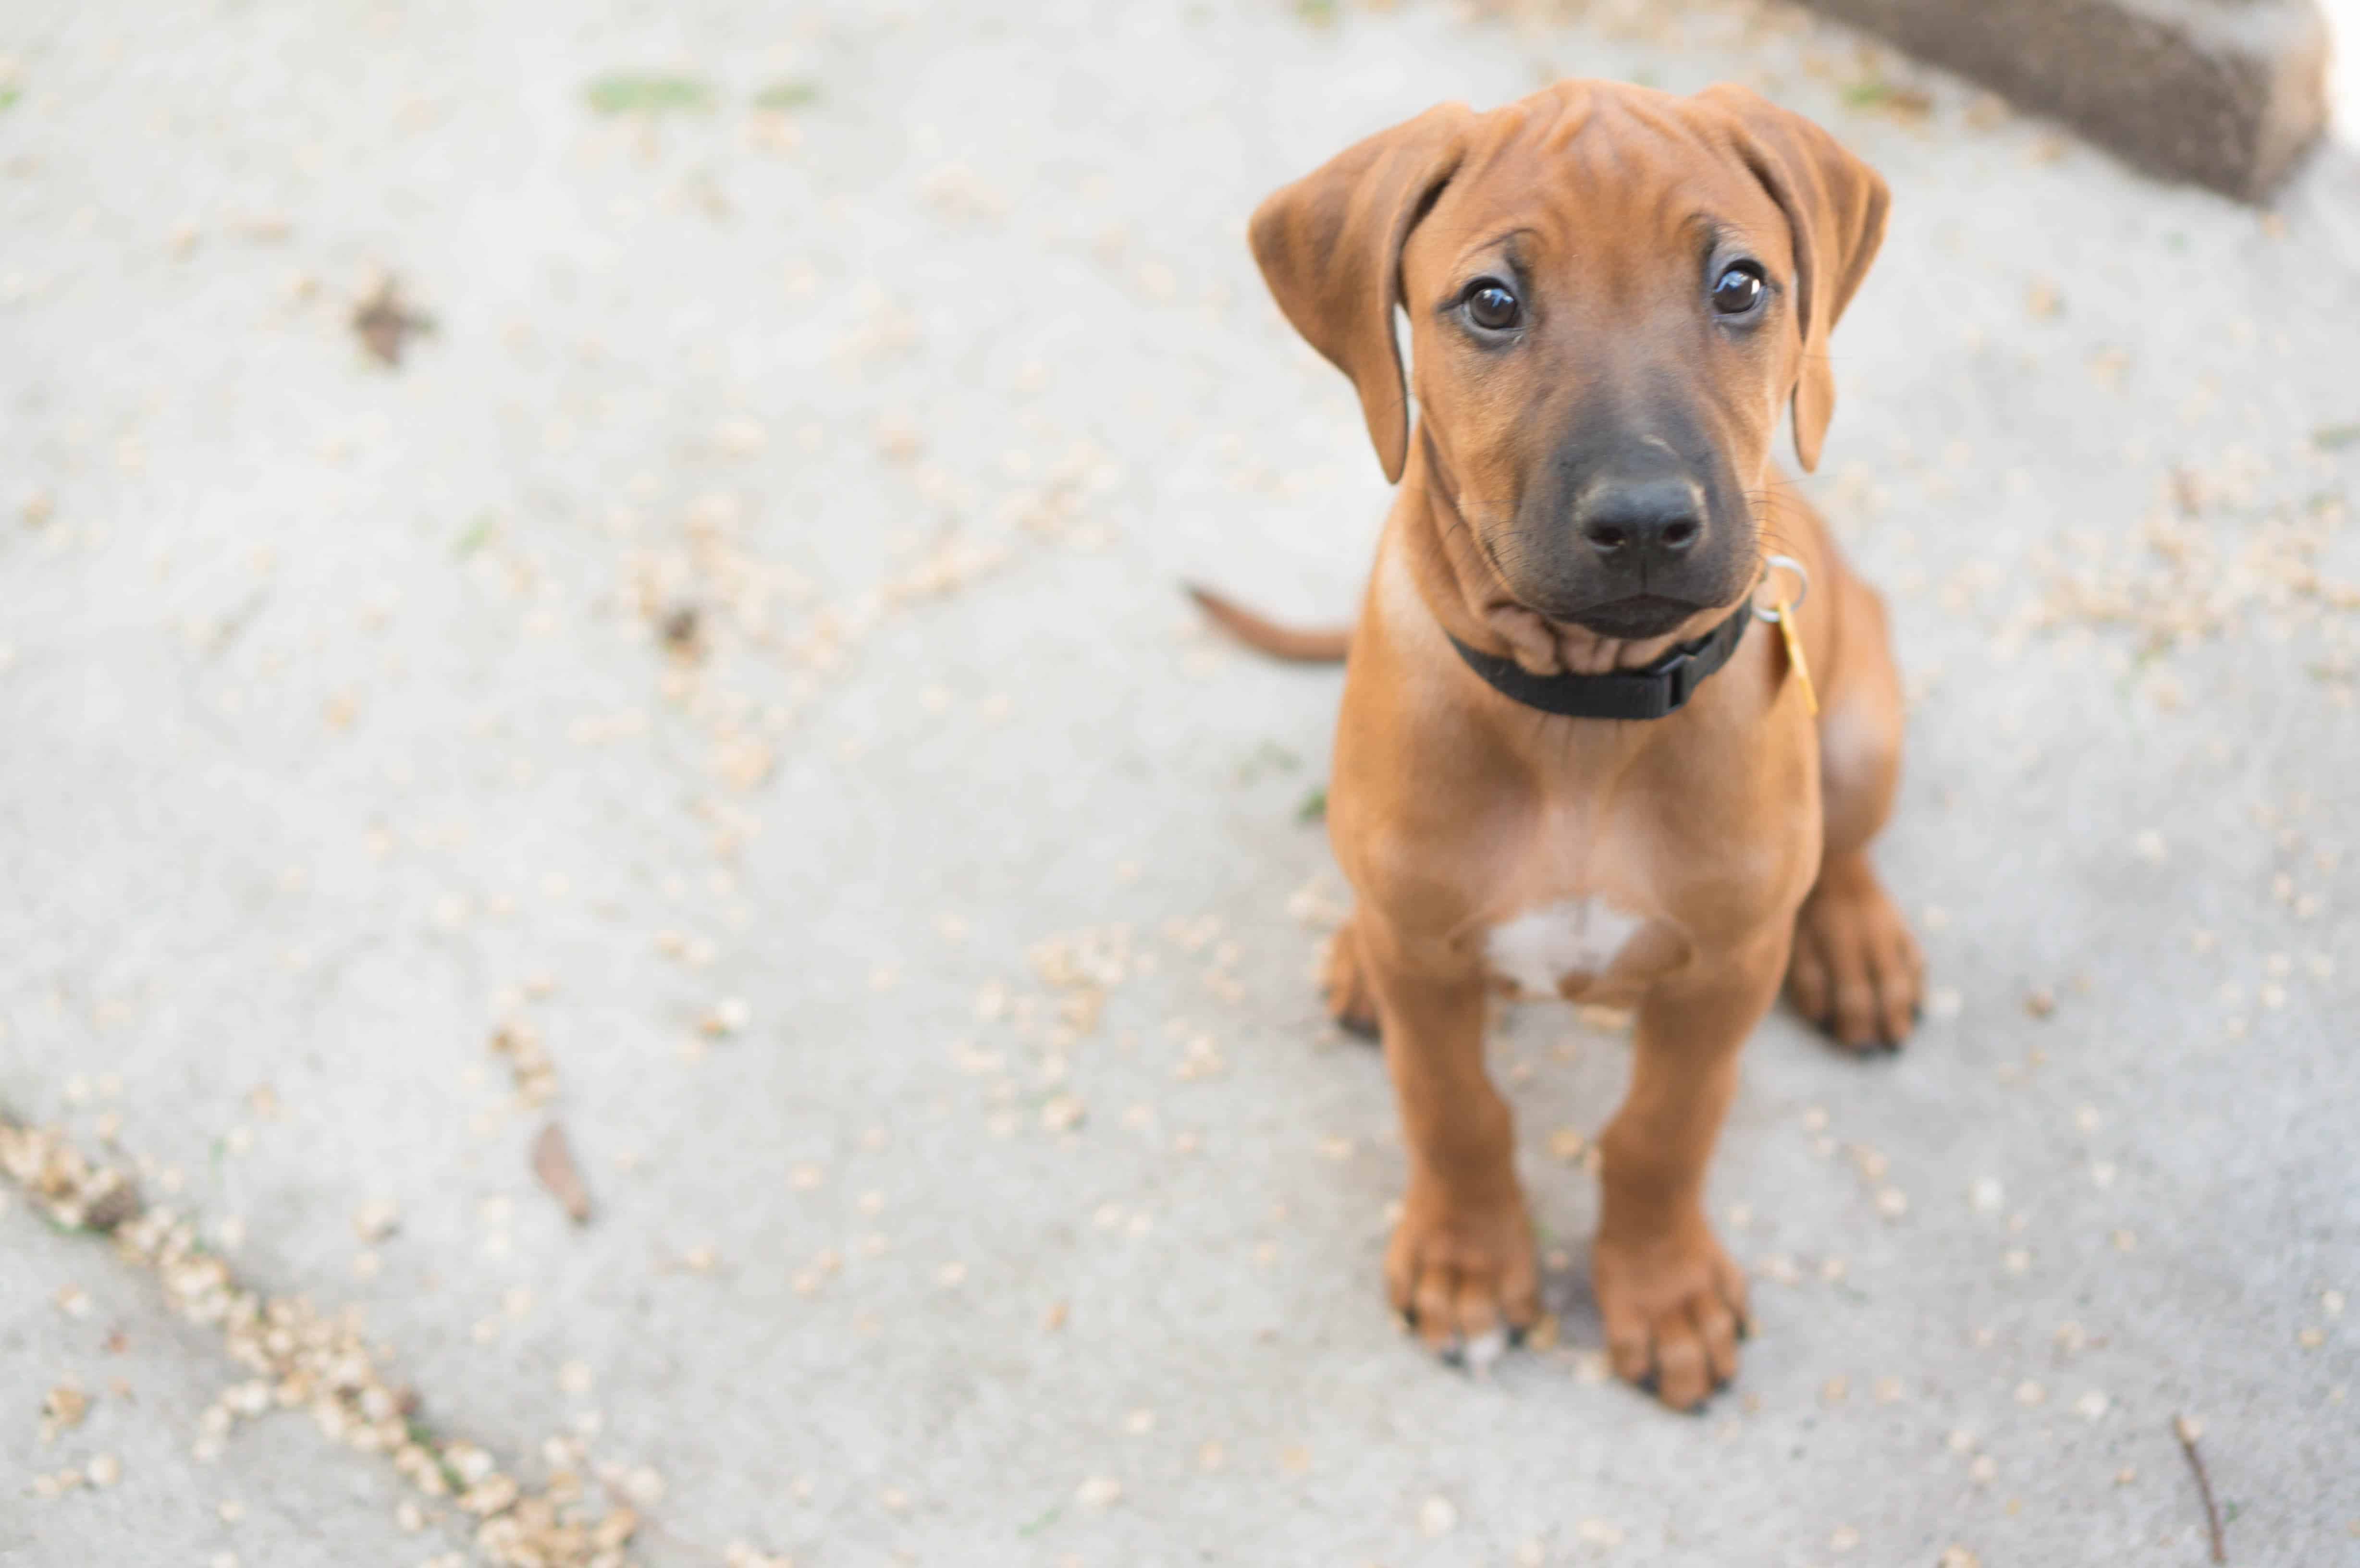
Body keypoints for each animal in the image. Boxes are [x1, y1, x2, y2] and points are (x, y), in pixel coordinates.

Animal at [1199, 83, 1916, 1407]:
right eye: (1491, 302)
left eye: (1739, 284)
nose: (1642, 522)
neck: (1581, 720)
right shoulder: (1431, 972)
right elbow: (1452, 1107)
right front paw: (1469, 1265)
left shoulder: (1725, 971)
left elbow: (1661, 1133)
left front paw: (1662, 1292)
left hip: (1858, 723)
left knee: (1842, 847)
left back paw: (1853, 945)